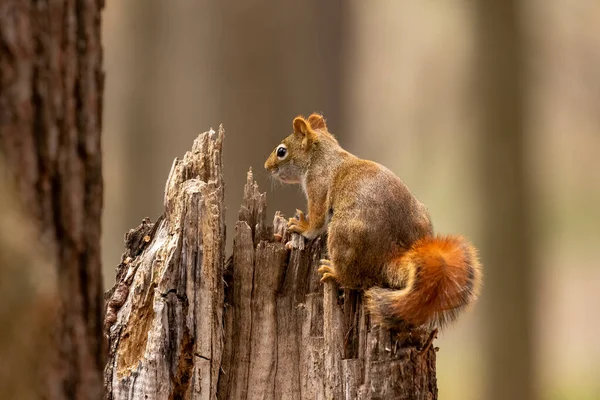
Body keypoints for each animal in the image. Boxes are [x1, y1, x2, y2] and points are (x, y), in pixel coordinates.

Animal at [264, 114, 480, 330]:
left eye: (281, 151)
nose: (267, 167)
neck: (322, 155)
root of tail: (390, 255)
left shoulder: (318, 185)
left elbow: (316, 221)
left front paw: (302, 226)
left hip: (344, 235)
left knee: (355, 279)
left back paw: (334, 272)